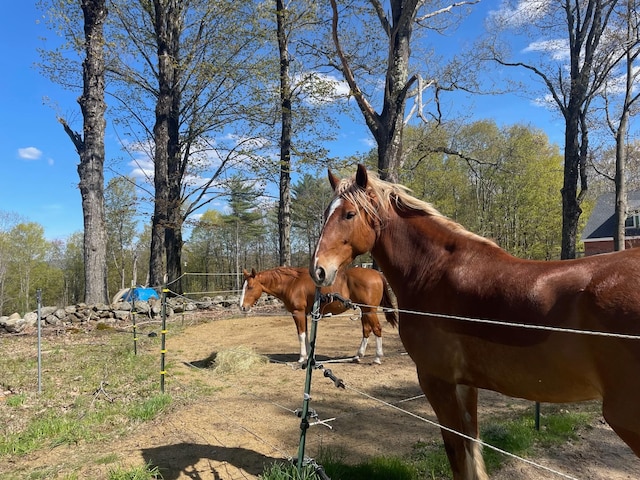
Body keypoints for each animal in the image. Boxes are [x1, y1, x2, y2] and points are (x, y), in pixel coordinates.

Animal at [241, 266, 398, 364]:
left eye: (250, 287)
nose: (242, 307)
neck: (292, 283)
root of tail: (377, 273)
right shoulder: (304, 314)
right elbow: (306, 334)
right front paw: (309, 356)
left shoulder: (298, 313)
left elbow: (301, 334)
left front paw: (302, 357)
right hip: (364, 311)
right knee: (366, 330)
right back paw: (358, 356)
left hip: (370, 311)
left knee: (377, 329)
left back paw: (377, 358)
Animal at [310, 165, 640, 480]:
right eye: (326, 213)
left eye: (349, 213)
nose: (319, 270)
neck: (434, 271)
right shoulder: (465, 385)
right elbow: (472, 446)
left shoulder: (437, 381)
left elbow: (457, 451)